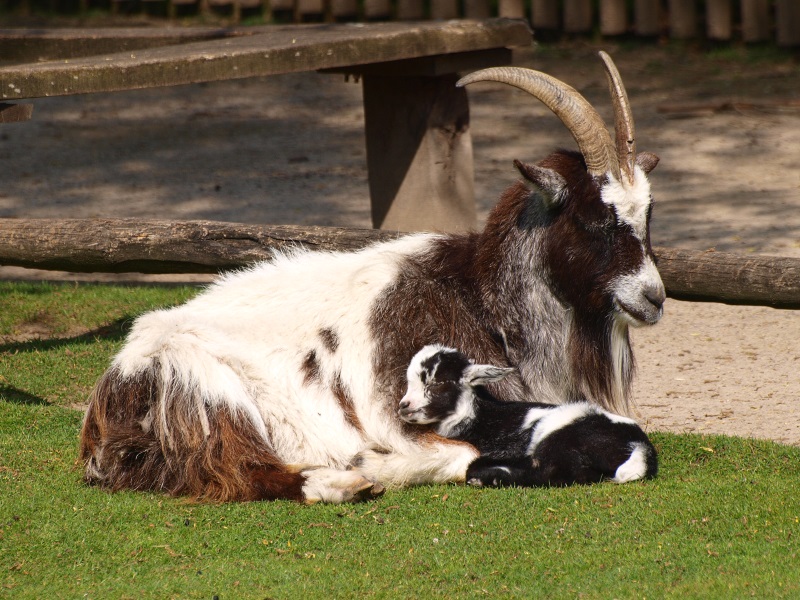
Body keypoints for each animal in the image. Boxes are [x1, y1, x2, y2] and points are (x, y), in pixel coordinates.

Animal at [399, 345, 658, 487]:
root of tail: (640, 445)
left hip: (558, 436)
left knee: (551, 473)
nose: (404, 406)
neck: (476, 417)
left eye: (437, 383)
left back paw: (489, 477)